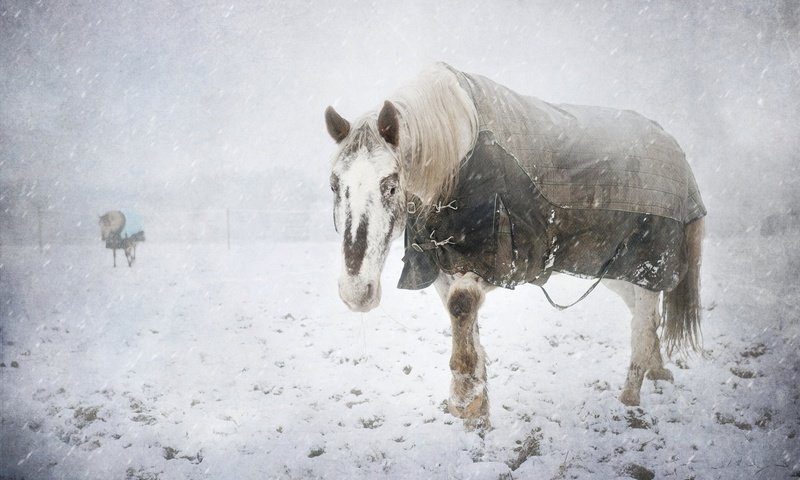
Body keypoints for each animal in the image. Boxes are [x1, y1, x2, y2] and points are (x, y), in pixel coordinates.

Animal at [324, 63, 708, 432]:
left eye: (390, 185)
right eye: (334, 185)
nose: (356, 292)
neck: (458, 162)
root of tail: (672, 147)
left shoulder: (490, 265)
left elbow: (462, 308)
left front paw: (464, 401)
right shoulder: (443, 270)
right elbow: (465, 325)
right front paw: (478, 411)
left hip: (648, 262)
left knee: (644, 323)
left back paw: (629, 399)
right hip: (617, 267)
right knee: (645, 317)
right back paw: (658, 372)